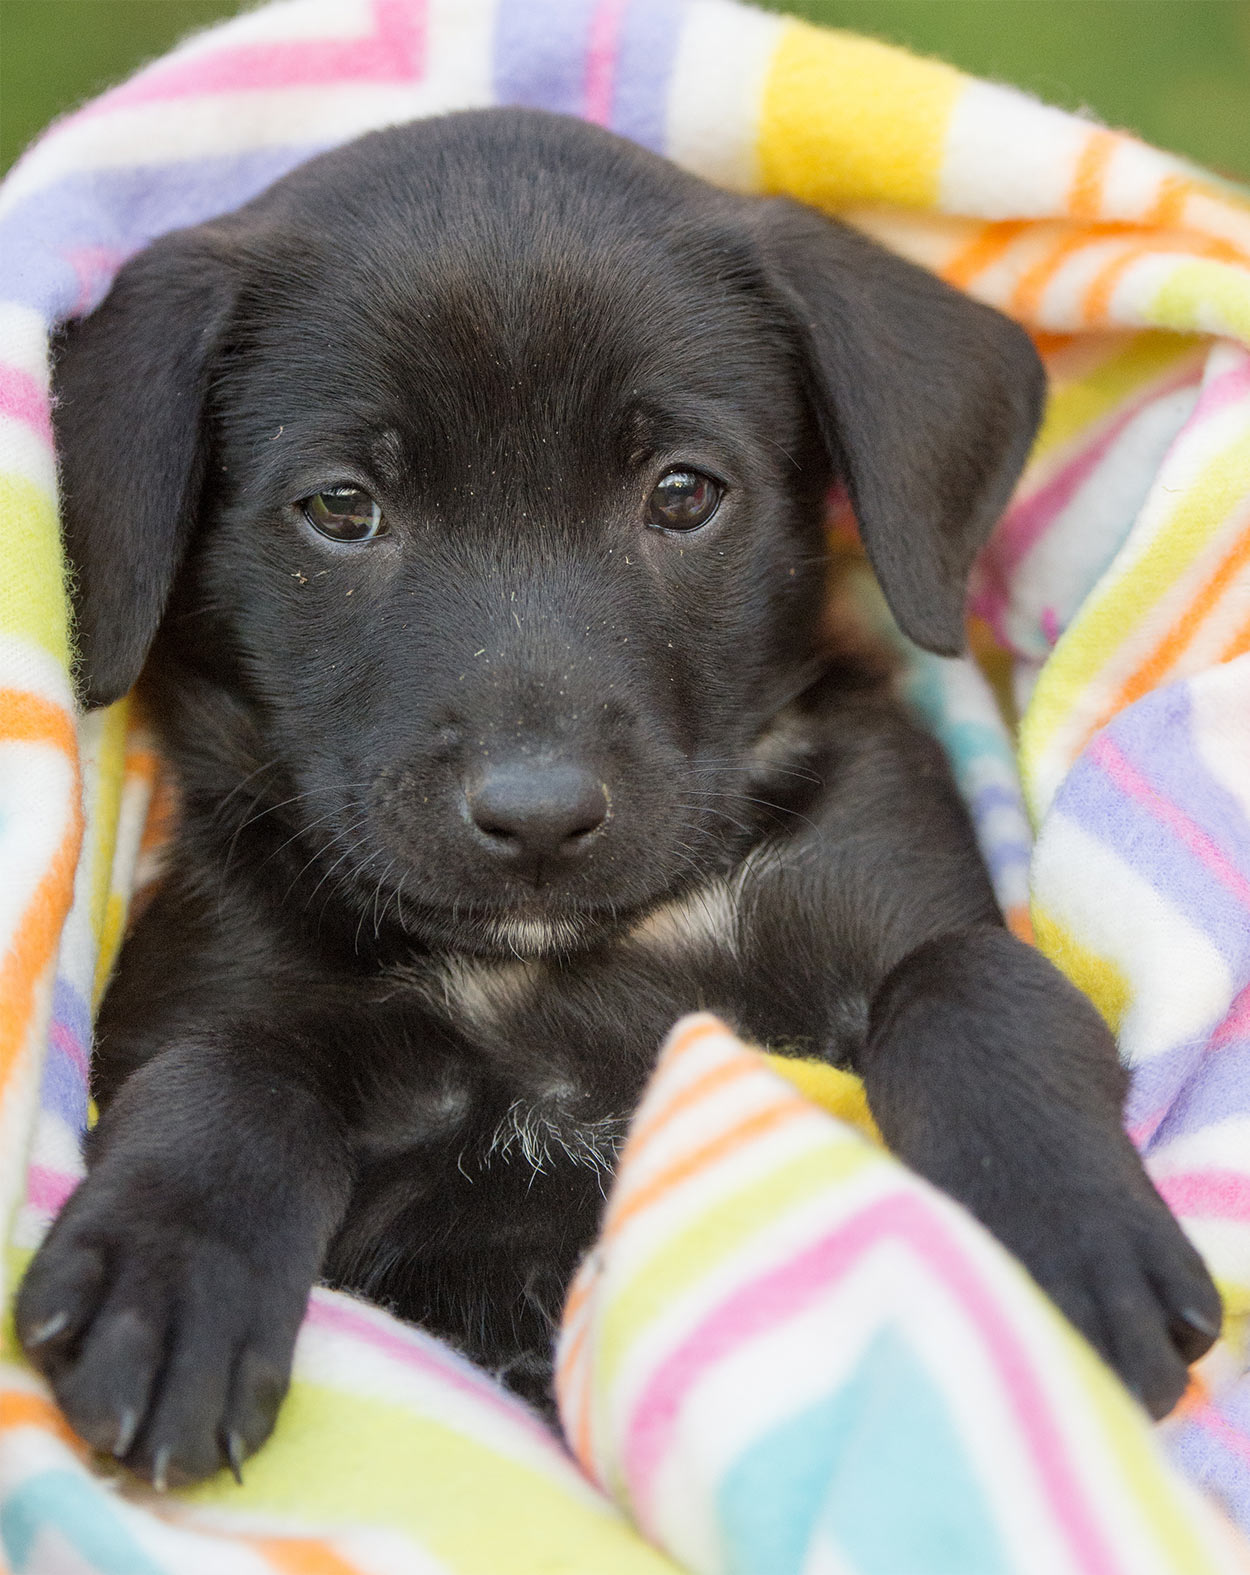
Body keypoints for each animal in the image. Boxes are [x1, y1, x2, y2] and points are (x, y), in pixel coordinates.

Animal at [17, 111, 1215, 1486]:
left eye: (682, 492)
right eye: (340, 509)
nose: (536, 815)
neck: (563, 968)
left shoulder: (893, 873)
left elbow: (980, 982)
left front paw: (1063, 1237)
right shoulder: (217, 991)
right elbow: (224, 1069)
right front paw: (164, 1276)